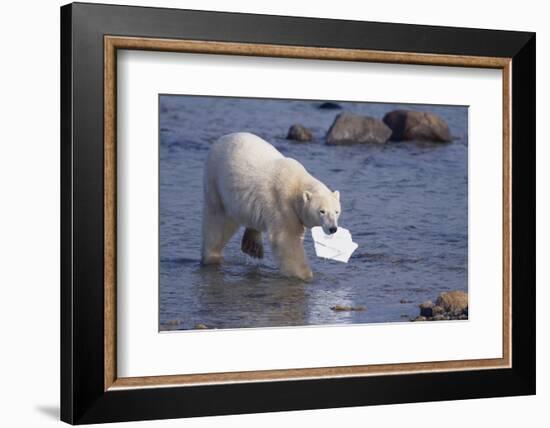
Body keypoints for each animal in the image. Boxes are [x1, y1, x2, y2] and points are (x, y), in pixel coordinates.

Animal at [203, 134, 340, 280]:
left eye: (337, 212)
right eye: (322, 211)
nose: (333, 228)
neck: (296, 185)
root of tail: (220, 140)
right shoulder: (283, 204)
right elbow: (287, 239)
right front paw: (304, 275)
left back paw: (253, 247)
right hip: (216, 183)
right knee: (217, 223)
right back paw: (212, 257)